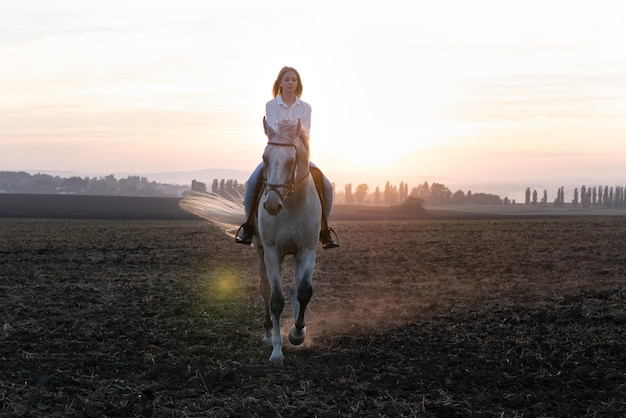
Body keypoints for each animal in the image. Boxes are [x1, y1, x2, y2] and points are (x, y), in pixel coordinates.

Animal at [178, 116, 320, 362]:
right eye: (264, 158)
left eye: (292, 160)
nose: (271, 205)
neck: (291, 205)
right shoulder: (272, 251)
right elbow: (276, 300)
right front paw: (276, 351)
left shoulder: (307, 250)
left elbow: (303, 293)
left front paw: (298, 334)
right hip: (260, 250)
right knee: (265, 289)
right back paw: (267, 335)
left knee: (294, 291)